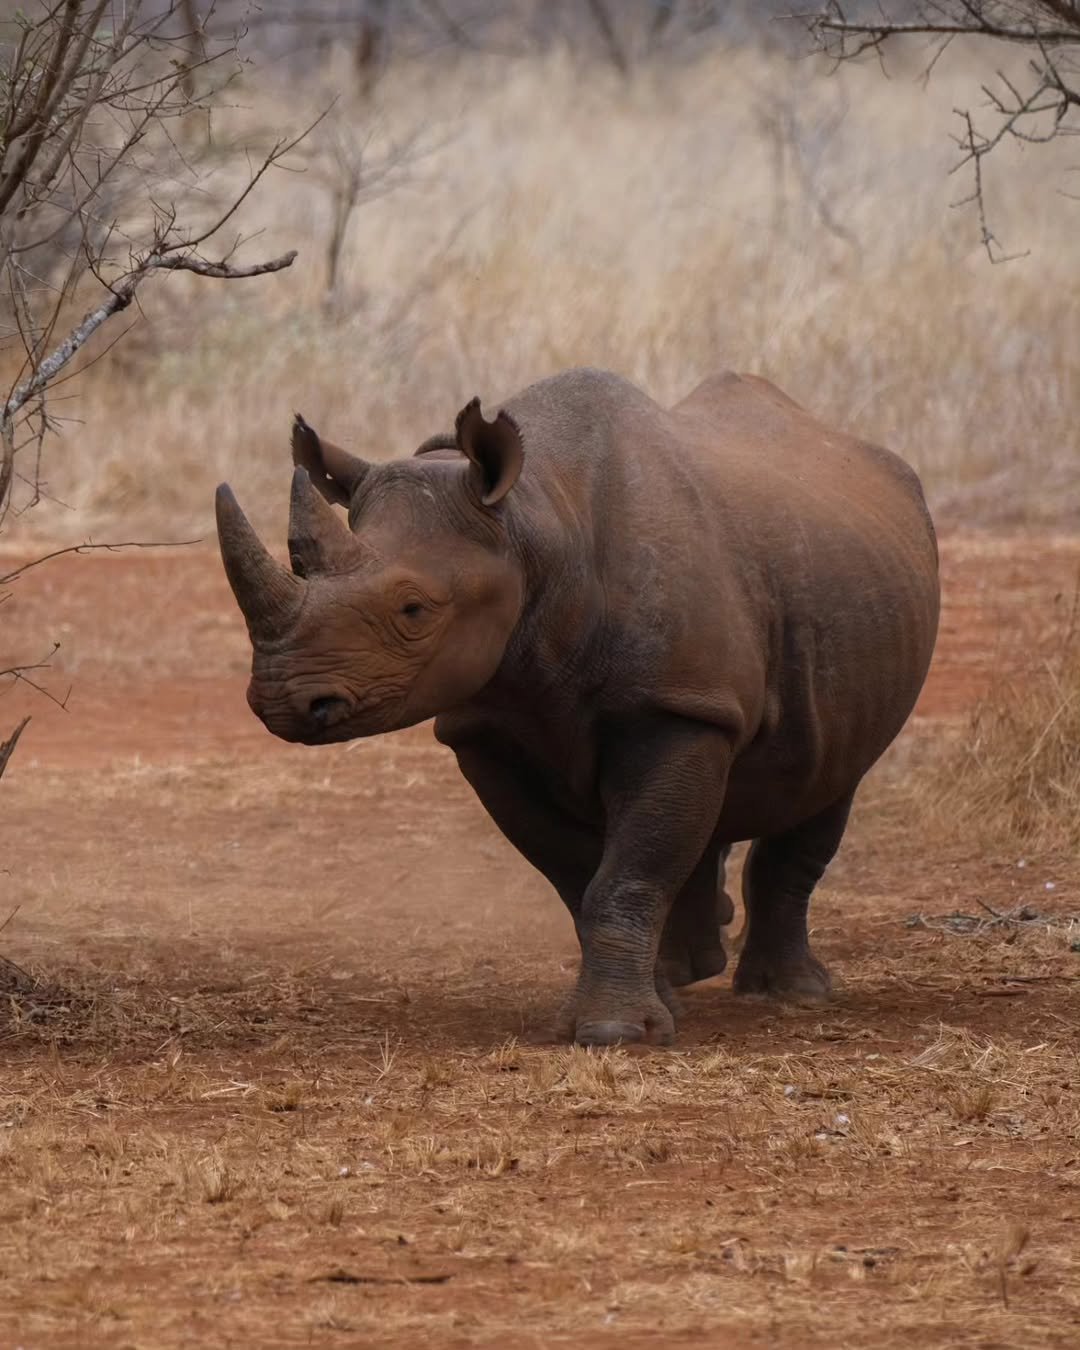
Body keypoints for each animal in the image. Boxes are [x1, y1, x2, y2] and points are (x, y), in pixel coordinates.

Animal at [216, 368, 939, 1046]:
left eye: (414, 610)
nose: (282, 699)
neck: (531, 522)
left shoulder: (679, 706)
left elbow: (629, 871)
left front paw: (615, 1033)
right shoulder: (485, 731)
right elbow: (576, 872)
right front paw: (647, 1010)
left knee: (829, 777)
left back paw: (792, 995)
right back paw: (690, 972)